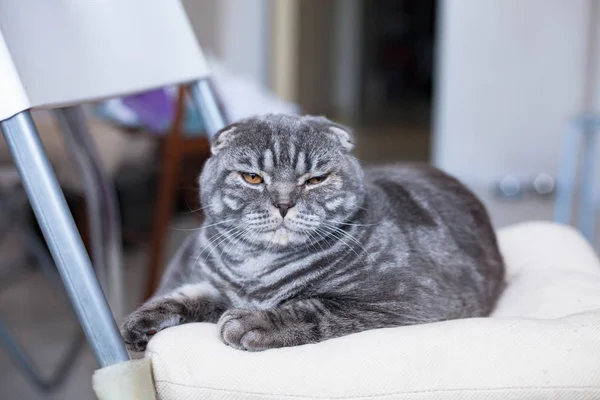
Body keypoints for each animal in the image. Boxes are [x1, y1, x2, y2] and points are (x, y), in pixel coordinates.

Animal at [122, 114, 506, 352]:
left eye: (316, 179)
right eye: (252, 177)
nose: (283, 203)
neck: (255, 267)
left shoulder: (403, 300)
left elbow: (311, 307)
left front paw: (251, 322)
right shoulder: (220, 290)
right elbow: (186, 295)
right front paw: (143, 320)